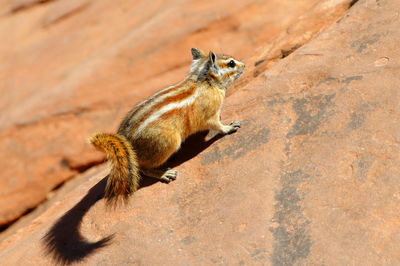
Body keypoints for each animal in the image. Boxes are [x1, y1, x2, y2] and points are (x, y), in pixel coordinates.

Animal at [89, 48, 245, 204]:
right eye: (231, 63)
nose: (244, 65)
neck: (204, 81)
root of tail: (126, 142)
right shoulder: (209, 114)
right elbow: (217, 125)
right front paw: (229, 127)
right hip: (169, 143)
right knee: (143, 168)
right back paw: (164, 174)